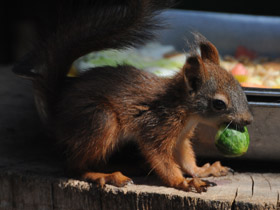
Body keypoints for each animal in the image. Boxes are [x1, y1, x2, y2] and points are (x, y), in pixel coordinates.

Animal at [13, 0, 254, 194]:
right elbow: (161, 158)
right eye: (219, 104)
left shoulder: (181, 137)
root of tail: (56, 115)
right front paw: (183, 182)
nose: (248, 120)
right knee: (74, 167)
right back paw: (107, 176)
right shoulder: (157, 127)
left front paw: (202, 171)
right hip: (100, 120)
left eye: (240, 87)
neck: (184, 109)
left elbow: (185, 158)